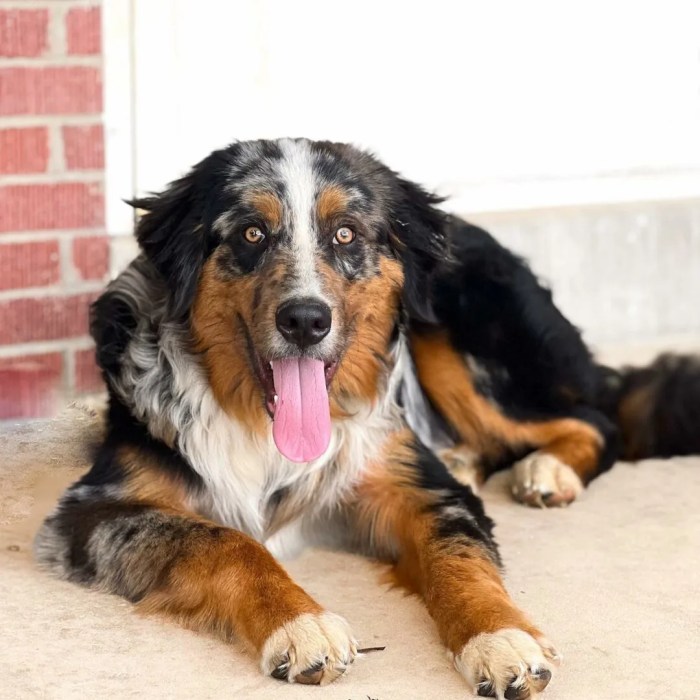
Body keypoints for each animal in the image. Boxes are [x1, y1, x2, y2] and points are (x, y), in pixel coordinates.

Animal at [34, 137, 700, 696]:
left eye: (347, 235)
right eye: (251, 233)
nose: (305, 320)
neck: (264, 428)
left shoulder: (416, 486)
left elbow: (460, 557)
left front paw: (501, 638)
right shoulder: (94, 509)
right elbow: (227, 542)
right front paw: (301, 625)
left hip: (456, 337)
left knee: (597, 418)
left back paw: (546, 472)